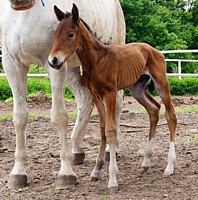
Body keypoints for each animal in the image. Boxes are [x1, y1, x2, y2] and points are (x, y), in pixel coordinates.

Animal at [0, 0, 125, 188]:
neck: (25, 13)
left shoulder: (53, 63)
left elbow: (59, 116)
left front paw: (66, 174)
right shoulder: (13, 64)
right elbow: (20, 117)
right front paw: (18, 173)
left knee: (116, 102)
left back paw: (111, 149)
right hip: (73, 67)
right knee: (85, 99)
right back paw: (76, 151)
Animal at [48, 3, 178, 193]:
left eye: (70, 34)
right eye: (56, 34)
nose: (53, 61)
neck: (96, 61)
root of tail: (155, 51)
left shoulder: (109, 93)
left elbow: (111, 130)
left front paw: (112, 180)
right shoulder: (96, 95)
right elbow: (102, 129)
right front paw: (96, 171)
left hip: (161, 84)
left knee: (171, 116)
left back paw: (169, 166)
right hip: (137, 88)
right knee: (154, 110)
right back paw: (146, 162)